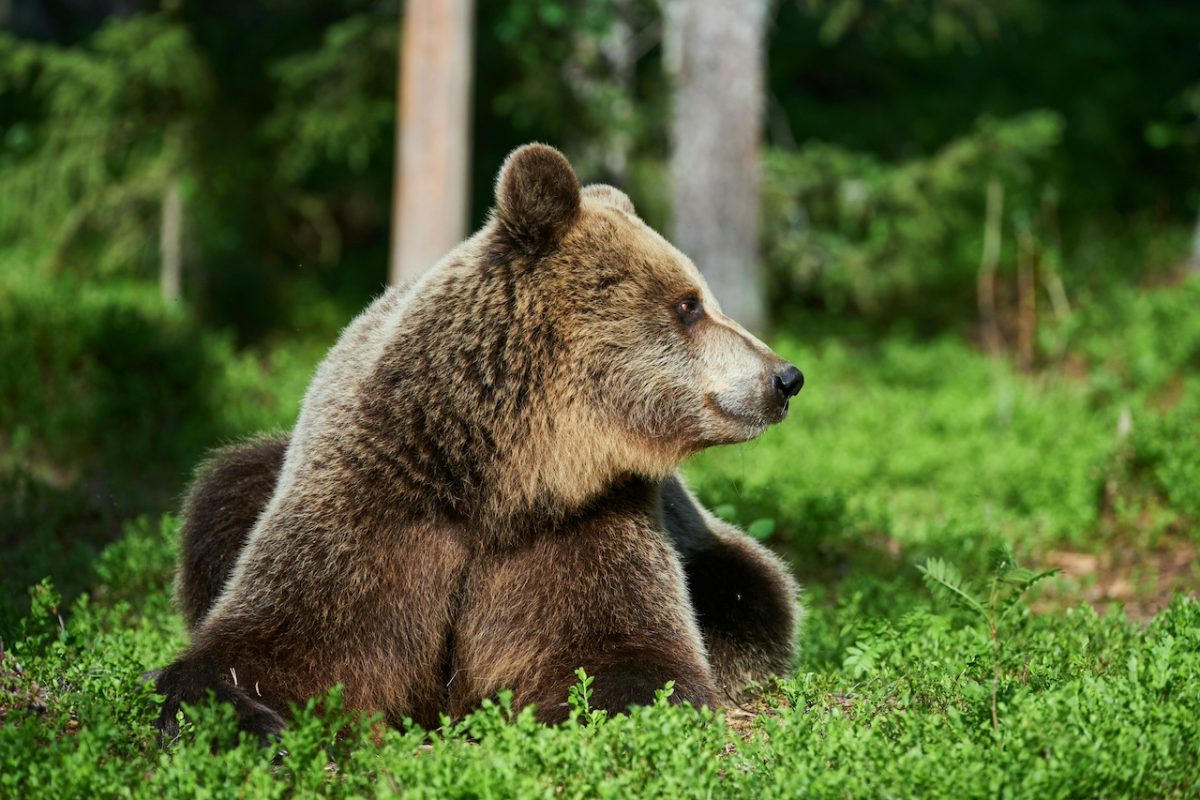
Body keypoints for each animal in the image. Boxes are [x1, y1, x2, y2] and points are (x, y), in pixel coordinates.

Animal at [154, 143, 803, 740]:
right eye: (689, 304)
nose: (785, 378)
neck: (505, 474)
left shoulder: (589, 521)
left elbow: (623, 656)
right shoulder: (373, 504)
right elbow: (280, 639)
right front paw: (242, 718)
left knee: (752, 590)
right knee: (222, 496)